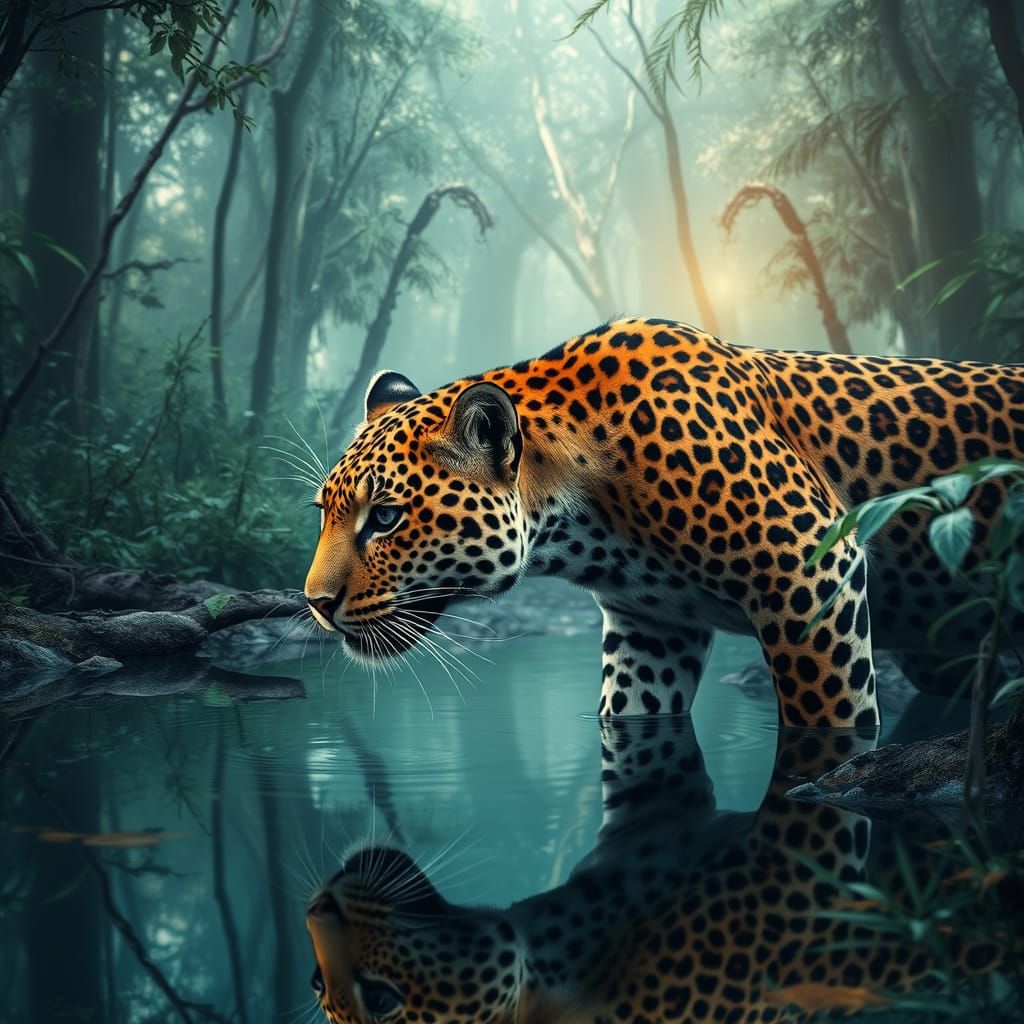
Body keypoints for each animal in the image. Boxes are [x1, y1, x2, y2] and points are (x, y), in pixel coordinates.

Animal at [304, 317, 1024, 727]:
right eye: (325, 512)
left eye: (386, 517)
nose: (314, 604)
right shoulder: (650, 627)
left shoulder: (811, 569)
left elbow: (831, 715)